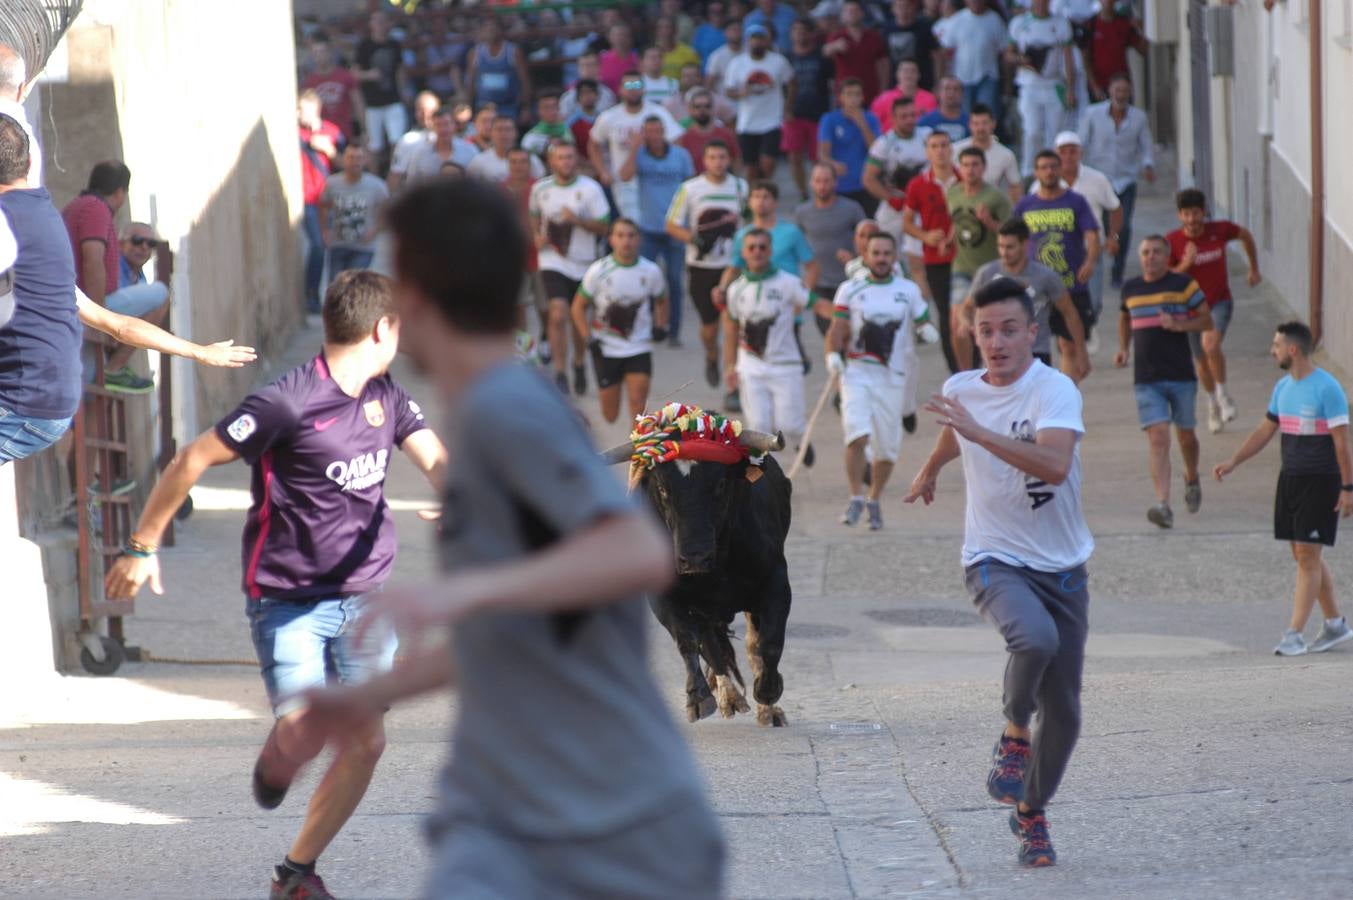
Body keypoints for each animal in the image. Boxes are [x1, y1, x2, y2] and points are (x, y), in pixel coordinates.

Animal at [619, 446, 790, 725]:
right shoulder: (663, 596)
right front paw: (698, 698)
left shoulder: (776, 580)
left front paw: (768, 691)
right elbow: (688, 640)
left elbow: (769, 642)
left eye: (720, 484)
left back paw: (766, 710)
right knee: (710, 643)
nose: (694, 558)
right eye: (663, 488)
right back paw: (728, 697)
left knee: (751, 641)